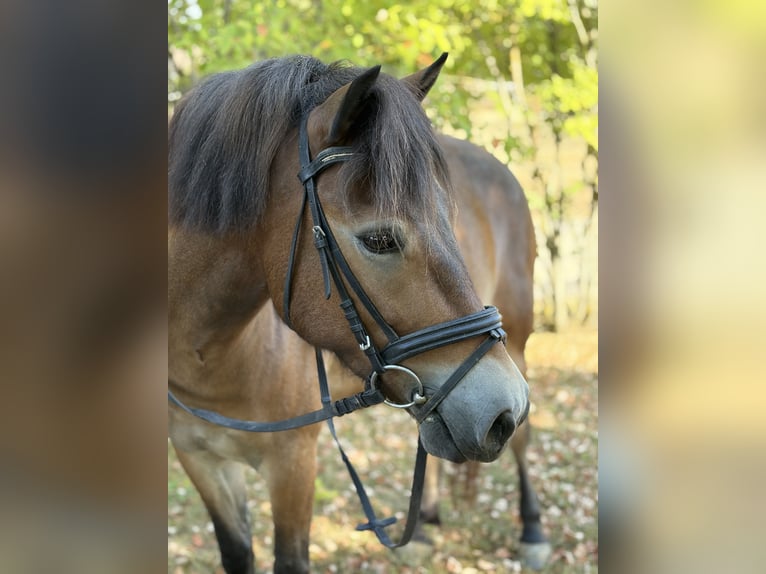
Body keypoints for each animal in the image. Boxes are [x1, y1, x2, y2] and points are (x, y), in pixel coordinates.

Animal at [168, 54, 531, 574]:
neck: (207, 356)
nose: (502, 410)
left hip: (518, 340)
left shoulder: (293, 463)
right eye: (378, 240)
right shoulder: (200, 461)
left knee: (525, 438)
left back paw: (533, 528)